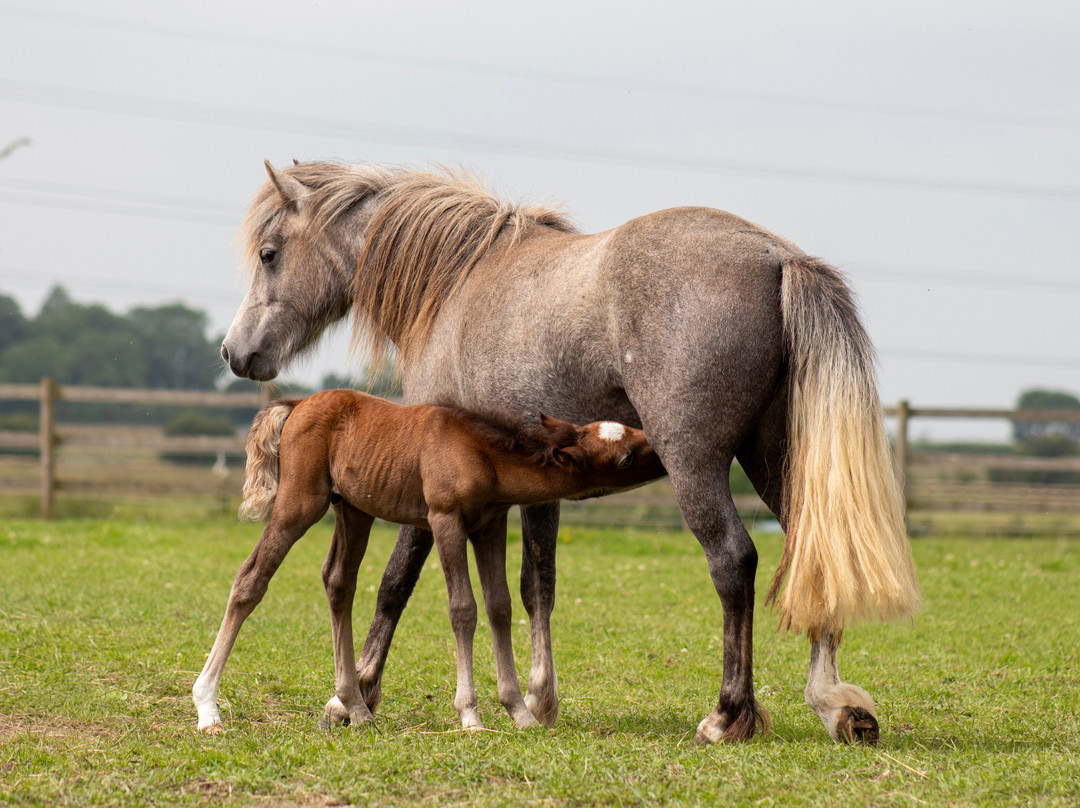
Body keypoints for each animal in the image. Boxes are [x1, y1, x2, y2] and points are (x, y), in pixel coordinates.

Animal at [192, 389, 663, 733]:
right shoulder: (445, 519)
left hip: (354, 509)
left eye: (628, 431)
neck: (482, 453)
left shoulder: (490, 524)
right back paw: (208, 707)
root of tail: (297, 404)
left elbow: (500, 607)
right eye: (625, 456)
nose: (659, 448)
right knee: (251, 578)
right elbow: (463, 609)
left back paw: (356, 708)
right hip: (300, 503)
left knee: (338, 581)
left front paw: (520, 713)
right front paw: (470, 715)